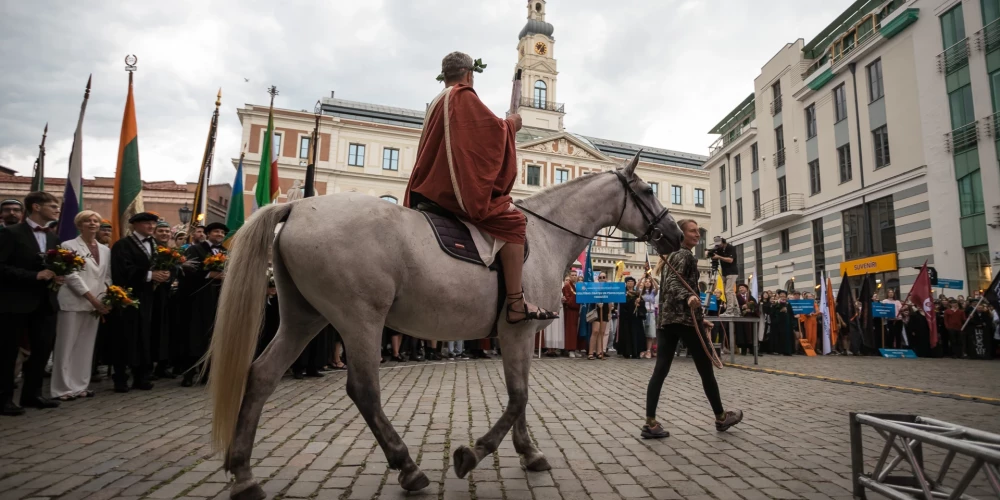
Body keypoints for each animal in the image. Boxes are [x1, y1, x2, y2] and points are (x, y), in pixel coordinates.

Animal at [207, 153, 684, 500]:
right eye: (646, 189)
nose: (677, 234)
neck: (544, 236)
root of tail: (296, 206)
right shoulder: (516, 332)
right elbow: (518, 397)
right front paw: (473, 453)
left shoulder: (519, 337)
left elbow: (522, 396)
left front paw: (528, 453)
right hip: (360, 321)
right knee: (363, 391)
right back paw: (408, 468)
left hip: (304, 317)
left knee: (262, 375)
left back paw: (244, 474)